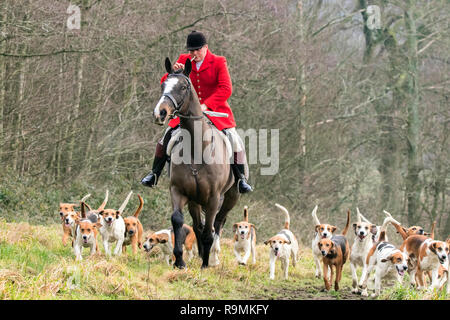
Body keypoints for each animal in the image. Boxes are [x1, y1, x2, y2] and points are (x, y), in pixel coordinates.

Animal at [153, 57, 243, 268]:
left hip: (230, 197)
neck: (196, 148)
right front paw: (179, 261)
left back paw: (213, 257)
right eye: (163, 85)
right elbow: (178, 220)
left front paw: (205, 265)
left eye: (184, 86)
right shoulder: (178, 190)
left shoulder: (214, 198)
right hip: (195, 201)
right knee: (198, 225)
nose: (160, 113)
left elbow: (210, 229)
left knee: (217, 223)